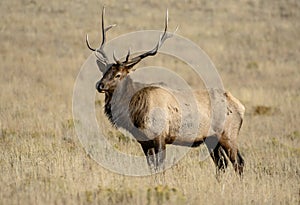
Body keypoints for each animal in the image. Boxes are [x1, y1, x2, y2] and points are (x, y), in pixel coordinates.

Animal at [85, 7, 245, 175]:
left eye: (118, 75)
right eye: (105, 72)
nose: (100, 85)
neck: (136, 112)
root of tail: (240, 106)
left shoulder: (160, 137)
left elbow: (160, 167)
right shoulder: (144, 141)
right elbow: (151, 167)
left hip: (229, 134)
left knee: (238, 162)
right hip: (212, 139)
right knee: (221, 164)